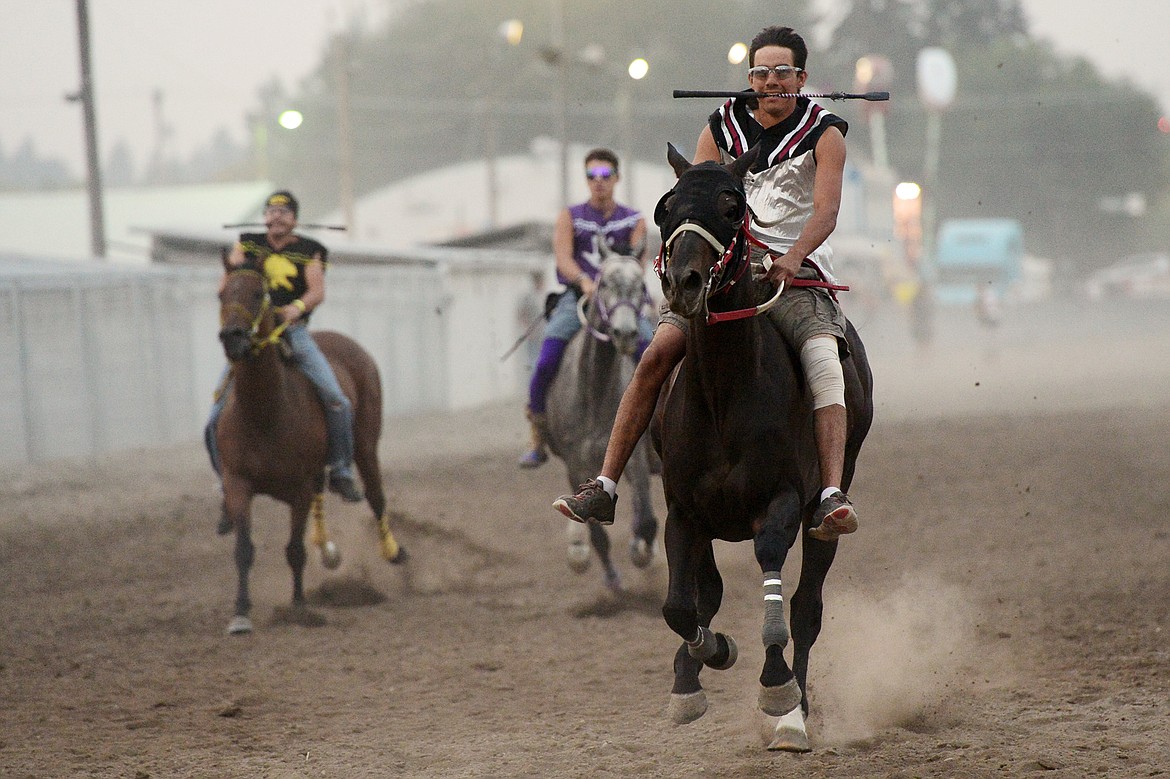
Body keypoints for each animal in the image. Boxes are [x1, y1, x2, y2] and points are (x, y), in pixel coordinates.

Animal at [217, 257, 404, 636]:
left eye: (258, 293)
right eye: (221, 293)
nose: (232, 337)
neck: (264, 413)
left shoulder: (299, 488)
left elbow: (294, 550)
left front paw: (300, 606)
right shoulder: (238, 482)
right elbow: (244, 549)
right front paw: (241, 613)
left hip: (365, 443)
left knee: (376, 496)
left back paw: (392, 550)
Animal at [545, 243, 659, 589]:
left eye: (640, 285)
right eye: (605, 282)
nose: (624, 332)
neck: (593, 391)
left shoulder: (636, 457)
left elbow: (647, 520)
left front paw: (642, 553)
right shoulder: (575, 463)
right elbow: (597, 534)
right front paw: (611, 579)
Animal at [655, 143, 875, 748]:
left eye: (734, 208)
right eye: (666, 206)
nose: (684, 283)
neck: (725, 397)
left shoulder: (781, 498)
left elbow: (773, 564)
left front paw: (777, 688)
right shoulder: (683, 509)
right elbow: (682, 604)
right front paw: (698, 668)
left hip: (831, 497)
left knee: (808, 605)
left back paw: (795, 712)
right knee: (707, 591)